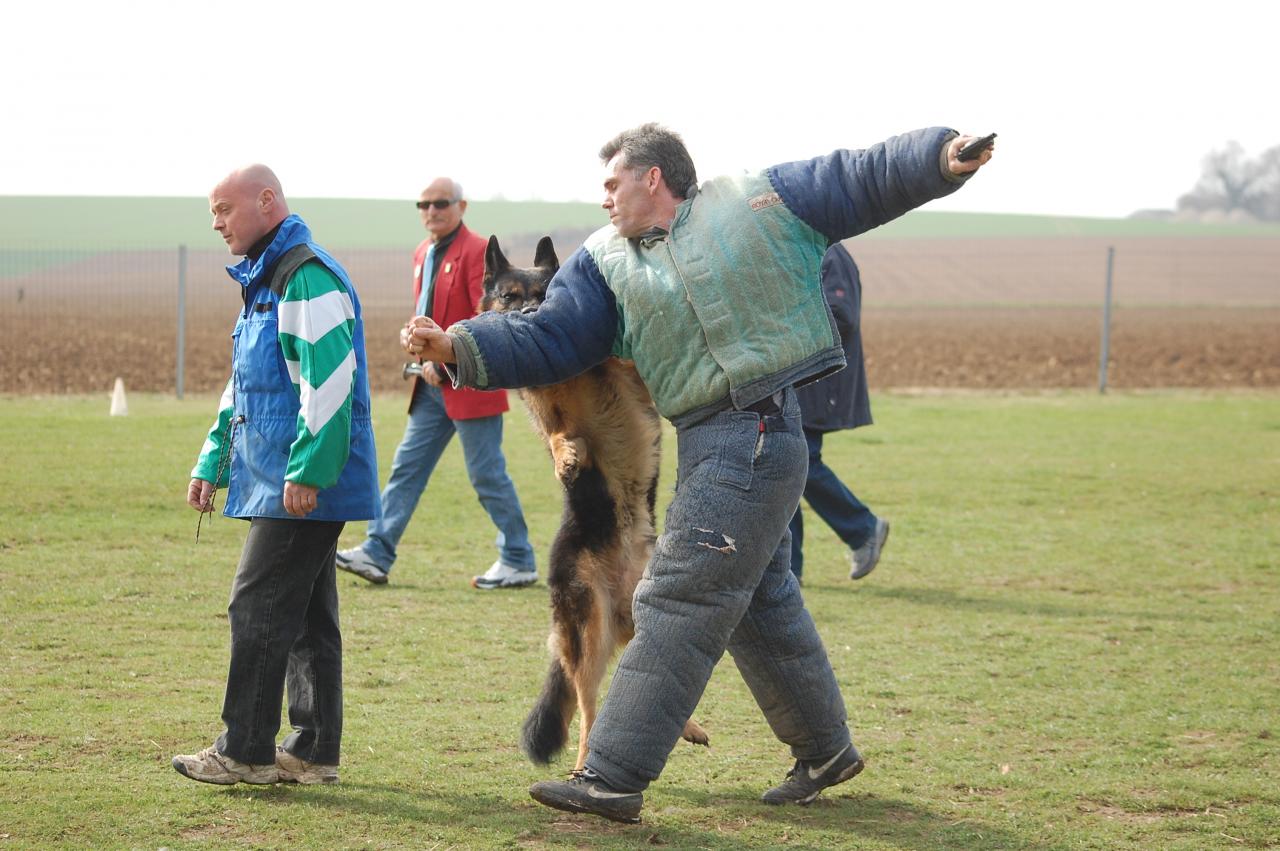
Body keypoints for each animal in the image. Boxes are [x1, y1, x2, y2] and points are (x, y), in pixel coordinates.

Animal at [481, 235, 711, 772]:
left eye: (544, 293)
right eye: (508, 297)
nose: (530, 315)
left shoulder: (628, 378)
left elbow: (621, 366)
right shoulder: (546, 408)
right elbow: (559, 432)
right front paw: (567, 457)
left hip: (637, 615)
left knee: (646, 666)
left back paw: (686, 726)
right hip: (588, 632)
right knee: (589, 710)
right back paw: (585, 762)